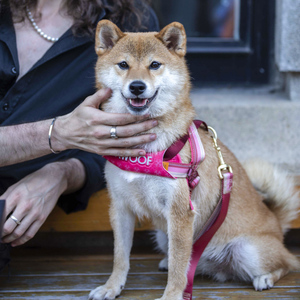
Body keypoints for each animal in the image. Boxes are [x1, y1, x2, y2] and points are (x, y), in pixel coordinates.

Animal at [89, 19, 300, 298]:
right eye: (123, 65)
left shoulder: (180, 213)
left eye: (154, 65)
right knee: (190, 259)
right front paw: (112, 287)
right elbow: (120, 257)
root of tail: (276, 223)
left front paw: (171, 295)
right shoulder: (121, 207)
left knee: (287, 263)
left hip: (249, 251)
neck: (145, 149)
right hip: (164, 236)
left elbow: (179, 270)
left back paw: (265, 277)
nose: (137, 86)